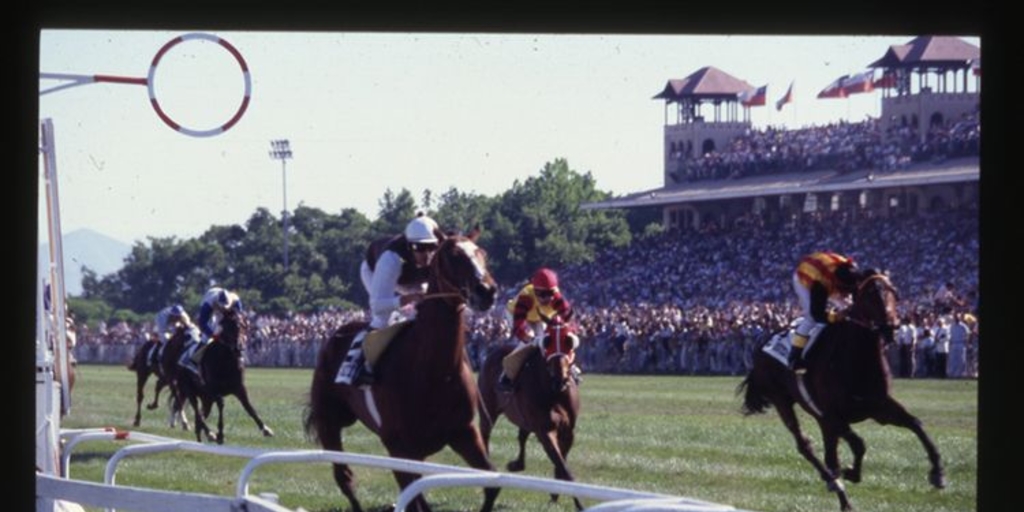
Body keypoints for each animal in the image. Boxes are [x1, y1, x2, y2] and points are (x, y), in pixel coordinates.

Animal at [174, 307, 274, 444]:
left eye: (243, 326)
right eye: (227, 326)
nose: (238, 347)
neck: (226, 360)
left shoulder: (239, 387)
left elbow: (249, 407)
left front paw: (265, 429)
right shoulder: (213, 389)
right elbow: (221, 404)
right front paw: (220, 434)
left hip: (206, 398)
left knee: (199, 420)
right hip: (190, 391)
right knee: (198, 414)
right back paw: (210, 434)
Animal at [303, 230, 499, 512]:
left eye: (483, 253)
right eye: (454, 255)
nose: (487, 291)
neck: (432, 371)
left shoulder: (464, 433)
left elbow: (492, 483)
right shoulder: (399, 445)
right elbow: (414, 497)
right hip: (330, 420)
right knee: (345, 478)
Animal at [475, 321, 581, 509]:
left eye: (569, 341)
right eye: (547, 342)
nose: (560, 379)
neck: (554, 392)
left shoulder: (568, 431)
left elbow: (561, 464)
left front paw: (555, 494)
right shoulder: (545, 430)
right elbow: (563, 466)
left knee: (522, 435)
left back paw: (517, 464)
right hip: (488, 410)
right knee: (485, 434)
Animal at [737, 270, 942, 509]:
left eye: (893, 292)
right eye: (869, 295)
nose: (890, 328)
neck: (856, 358)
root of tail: (762, 346)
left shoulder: (879, 407)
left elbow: (916, 424)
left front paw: (938, 472)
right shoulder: (833, 415)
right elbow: (859, 445)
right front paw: (851, 472)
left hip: (820, 418)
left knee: (828, 455)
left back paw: (835, 485)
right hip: (782, 401)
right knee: (806, 446)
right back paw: (837, 487)